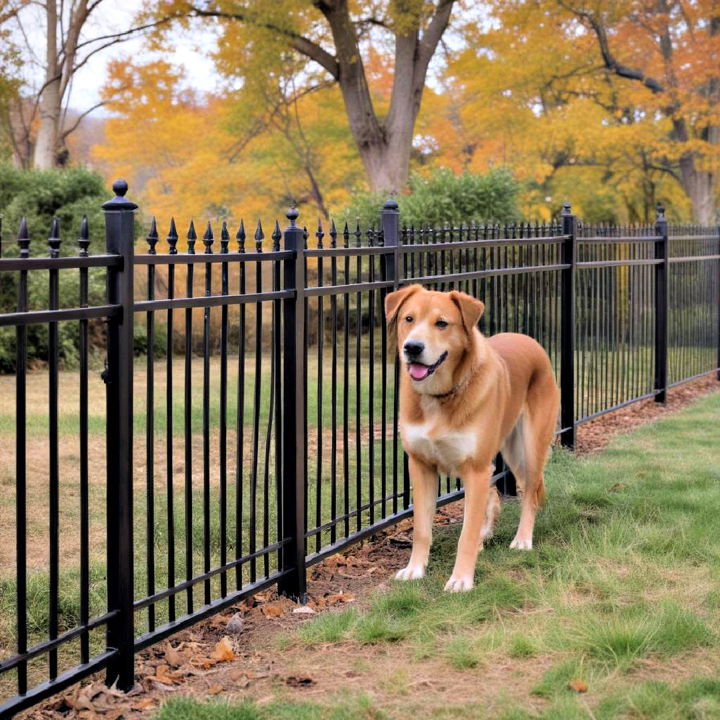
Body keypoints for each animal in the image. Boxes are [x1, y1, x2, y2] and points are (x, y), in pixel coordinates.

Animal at [386, 284, 560, 592]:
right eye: (408, 319)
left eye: (442, 323)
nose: (412, 347)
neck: (439, 398)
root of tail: (528, 339)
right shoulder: (421, 465)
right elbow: (421, 529)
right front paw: (415, 569)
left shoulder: (476, 469)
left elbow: (465, 534)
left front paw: (461, 579)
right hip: (506, 453)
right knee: (498, 493)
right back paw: (486, 533)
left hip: (530, 448)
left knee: (529, 493)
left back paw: (522, 539)